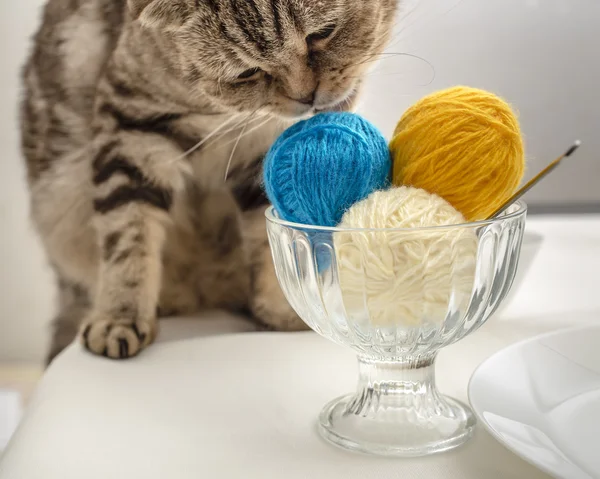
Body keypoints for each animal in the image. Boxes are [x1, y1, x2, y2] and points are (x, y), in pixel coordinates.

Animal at [21, 0, 398, 362]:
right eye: (248, 72)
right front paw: (119, 316)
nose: (306, 97)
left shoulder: (267, 148)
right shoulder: (132, 124)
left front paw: (280, 309)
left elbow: (270, 237)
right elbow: (128, 235)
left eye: (322, 33)